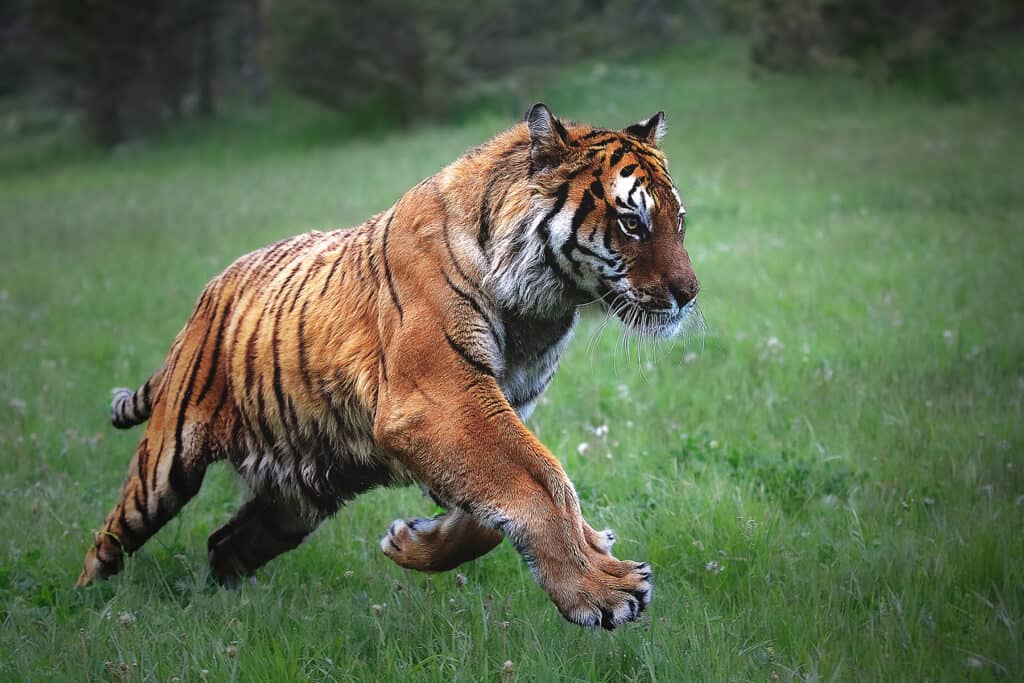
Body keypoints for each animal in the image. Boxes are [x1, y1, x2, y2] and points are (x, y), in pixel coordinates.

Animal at [79, 104, 700, 634]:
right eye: (633, 223)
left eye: (679, 223)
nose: (690, 295)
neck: (539, 307)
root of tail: (208, 294)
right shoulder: (438, 401)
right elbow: (542, 482)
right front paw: (605, 591)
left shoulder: (496, 406)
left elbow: (498, 504)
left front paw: (412, 541)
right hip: (166, 466)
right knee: (109, 538)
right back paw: (88, 607)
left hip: (294, 500)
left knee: (224, 543)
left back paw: (232, 608)